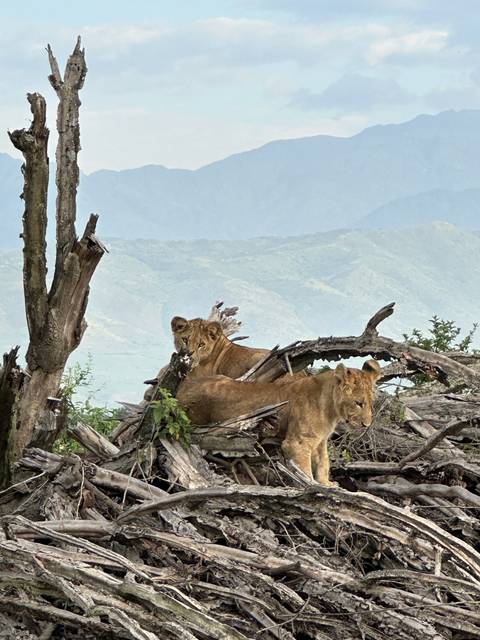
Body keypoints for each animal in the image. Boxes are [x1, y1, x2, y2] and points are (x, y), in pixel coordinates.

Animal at [177, 359, 381, 485]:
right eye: (359, 403)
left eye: (371, 403)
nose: (366, 425)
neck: (331, 409)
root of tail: (181, 388)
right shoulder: (298, 443)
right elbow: (304, 469)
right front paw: (311, 485)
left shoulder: (320, 441)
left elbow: (324, 463)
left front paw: (327, 484)